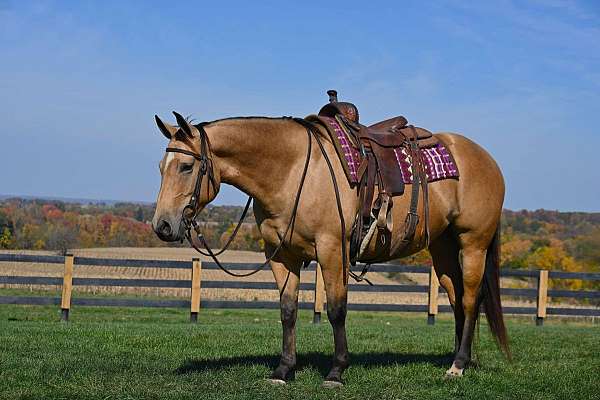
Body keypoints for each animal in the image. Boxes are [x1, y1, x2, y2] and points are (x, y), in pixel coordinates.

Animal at [150, 94, 506, 388]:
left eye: (186, 166)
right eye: (161, 167)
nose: (162, 225)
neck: (293, 172)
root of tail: (487, 160)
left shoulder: (332, 250)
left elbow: (336, 309)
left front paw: (336, 371)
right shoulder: (281, 256)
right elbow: (288, 310)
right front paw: (283, 370)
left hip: (473, 244)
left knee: (470, 299)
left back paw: (458, 365)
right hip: (443, 247)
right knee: (456, 297)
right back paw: (459, 359)